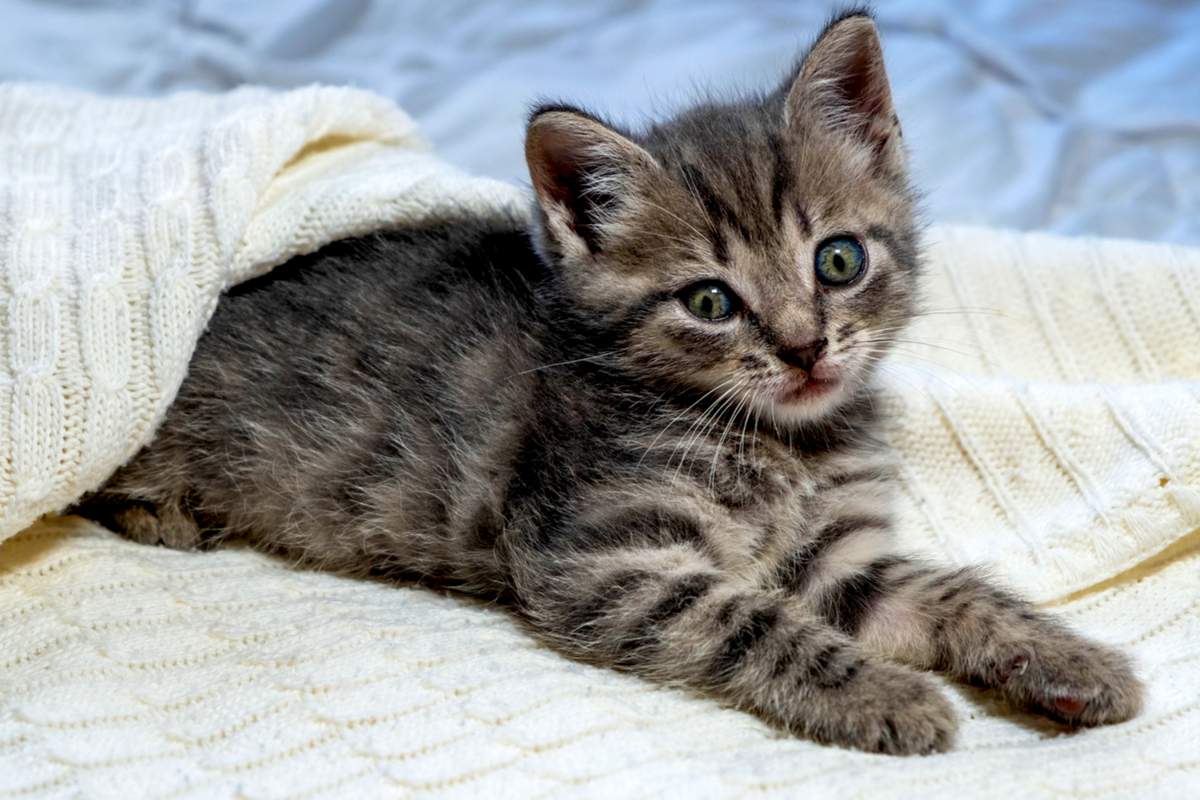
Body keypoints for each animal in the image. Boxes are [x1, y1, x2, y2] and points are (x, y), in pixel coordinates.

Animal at [79, 9, 1137, 753]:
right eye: (710, 301)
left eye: (838, 261)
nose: (805, 349)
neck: (780, 443)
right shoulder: (600, 559)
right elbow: (756, 621)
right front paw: (886, 693)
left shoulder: (838, 561)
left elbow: (953, 594)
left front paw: (1073, 659)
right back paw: (167, 514)